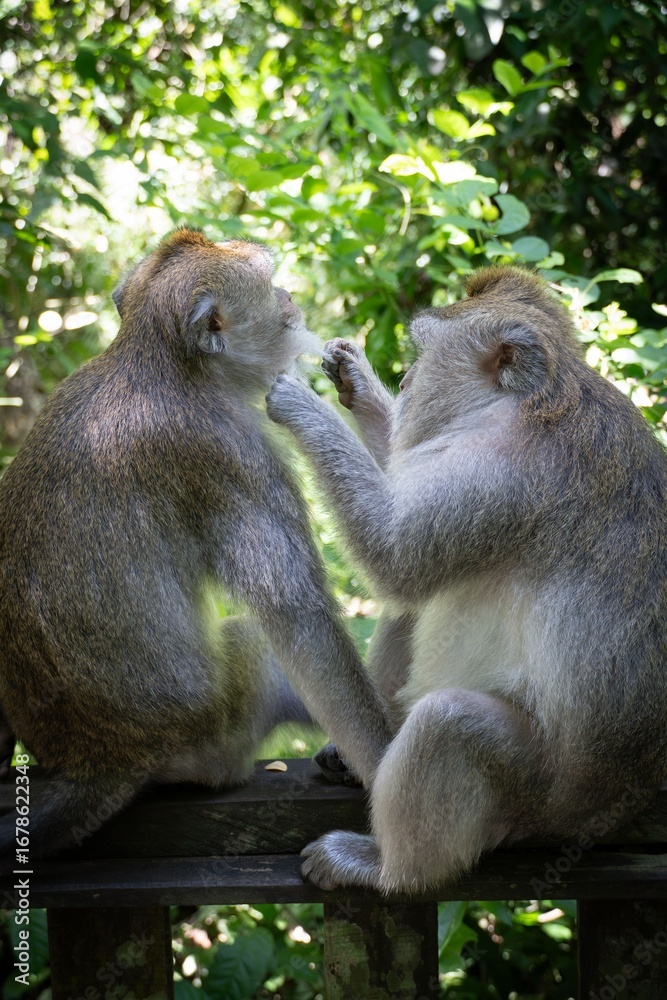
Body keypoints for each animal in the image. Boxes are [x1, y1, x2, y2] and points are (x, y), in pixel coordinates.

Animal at [0, 228, 393, 859]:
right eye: (270, 283)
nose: (289, 297)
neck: (163, 363)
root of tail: (97, 759)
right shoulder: (231, 453)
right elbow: (299, 619)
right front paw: (385, 763)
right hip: (213, 733)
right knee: (256, 645)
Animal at [265, 266, 667, 894]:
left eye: (425, 354)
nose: (405, 381)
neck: (534, 396)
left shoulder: (502, 473)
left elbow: (395, 556)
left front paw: (304, 405)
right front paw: (357, 382)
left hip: (535, 791)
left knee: (451, 723)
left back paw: (384, 867)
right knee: (413, 612)